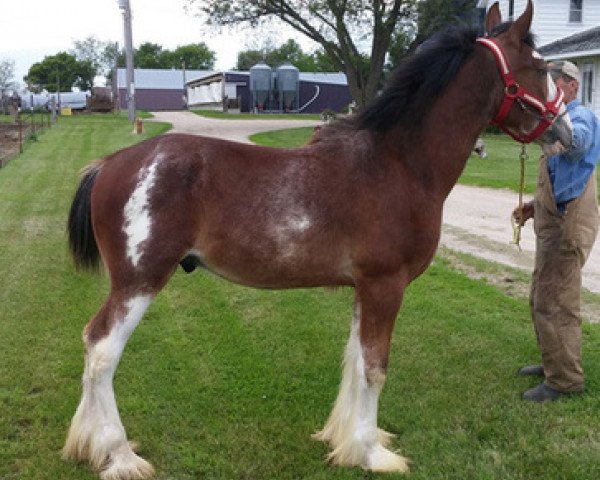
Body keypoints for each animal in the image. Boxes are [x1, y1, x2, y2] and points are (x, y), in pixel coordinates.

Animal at [64, 1, 572, 478]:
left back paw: (88, 445)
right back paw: (118, 455)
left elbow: (355, 362)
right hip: (139, 283)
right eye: (540, 67)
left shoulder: (365, 288)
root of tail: (109, 164)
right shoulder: (386, 285)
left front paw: (346, 440)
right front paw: (370, 453)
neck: (399, 163)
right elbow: (374, 367)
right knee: (101, 351)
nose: (566, 130)